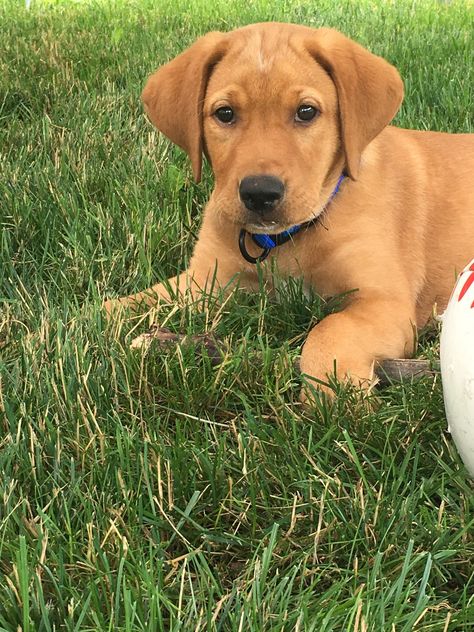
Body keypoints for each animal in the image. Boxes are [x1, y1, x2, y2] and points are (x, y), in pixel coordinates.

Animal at [103, 24, 474, 398]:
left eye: (306, 112)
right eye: (225, 114)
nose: (260, 193)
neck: (285, 241)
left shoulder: (384, 302)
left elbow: (330, 328)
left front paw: (332, 395)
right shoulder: (204, 280)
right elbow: (135, 301)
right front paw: (98, 318)